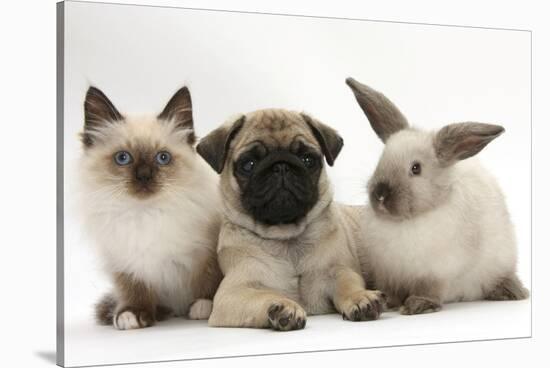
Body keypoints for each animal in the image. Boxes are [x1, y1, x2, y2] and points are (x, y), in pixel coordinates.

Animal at [80, 87, 222, 330]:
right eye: (123, 158)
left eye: (163, 158)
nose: (144, 176)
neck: (146, 214)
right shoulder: (125, 262)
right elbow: (134, 290)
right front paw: (132, 314)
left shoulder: (206, 252)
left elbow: (208, 281)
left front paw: (205, 306)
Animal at [196, 108, 386, 330]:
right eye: (249, 164)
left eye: (307, 160)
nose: (281, 166)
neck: (286, 237)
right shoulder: (233, 293)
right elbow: (264, 295)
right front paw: (283, 307)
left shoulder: (339, 271)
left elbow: (348, 285)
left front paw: (361, 298)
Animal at [344, 77, 532, 314]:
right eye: (382, 159)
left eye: (416, 168)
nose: (380, 194)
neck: (406, 222)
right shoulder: (388, 273)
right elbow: (391, 290)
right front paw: (387, 303)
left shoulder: (436, 273)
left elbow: (429, 290)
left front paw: (418, 305)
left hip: (502, 261)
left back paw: (511, 292)